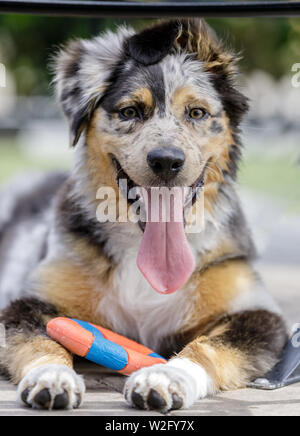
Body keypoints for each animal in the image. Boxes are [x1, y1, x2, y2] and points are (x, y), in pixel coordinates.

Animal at [0, 17, 288, 412]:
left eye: (197, 112)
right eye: (129, 112)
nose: (166, 161)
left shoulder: (259, 313)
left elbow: (208, 347)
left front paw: (165, 377)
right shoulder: (27, 302)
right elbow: (44, 338)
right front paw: (51, 375)